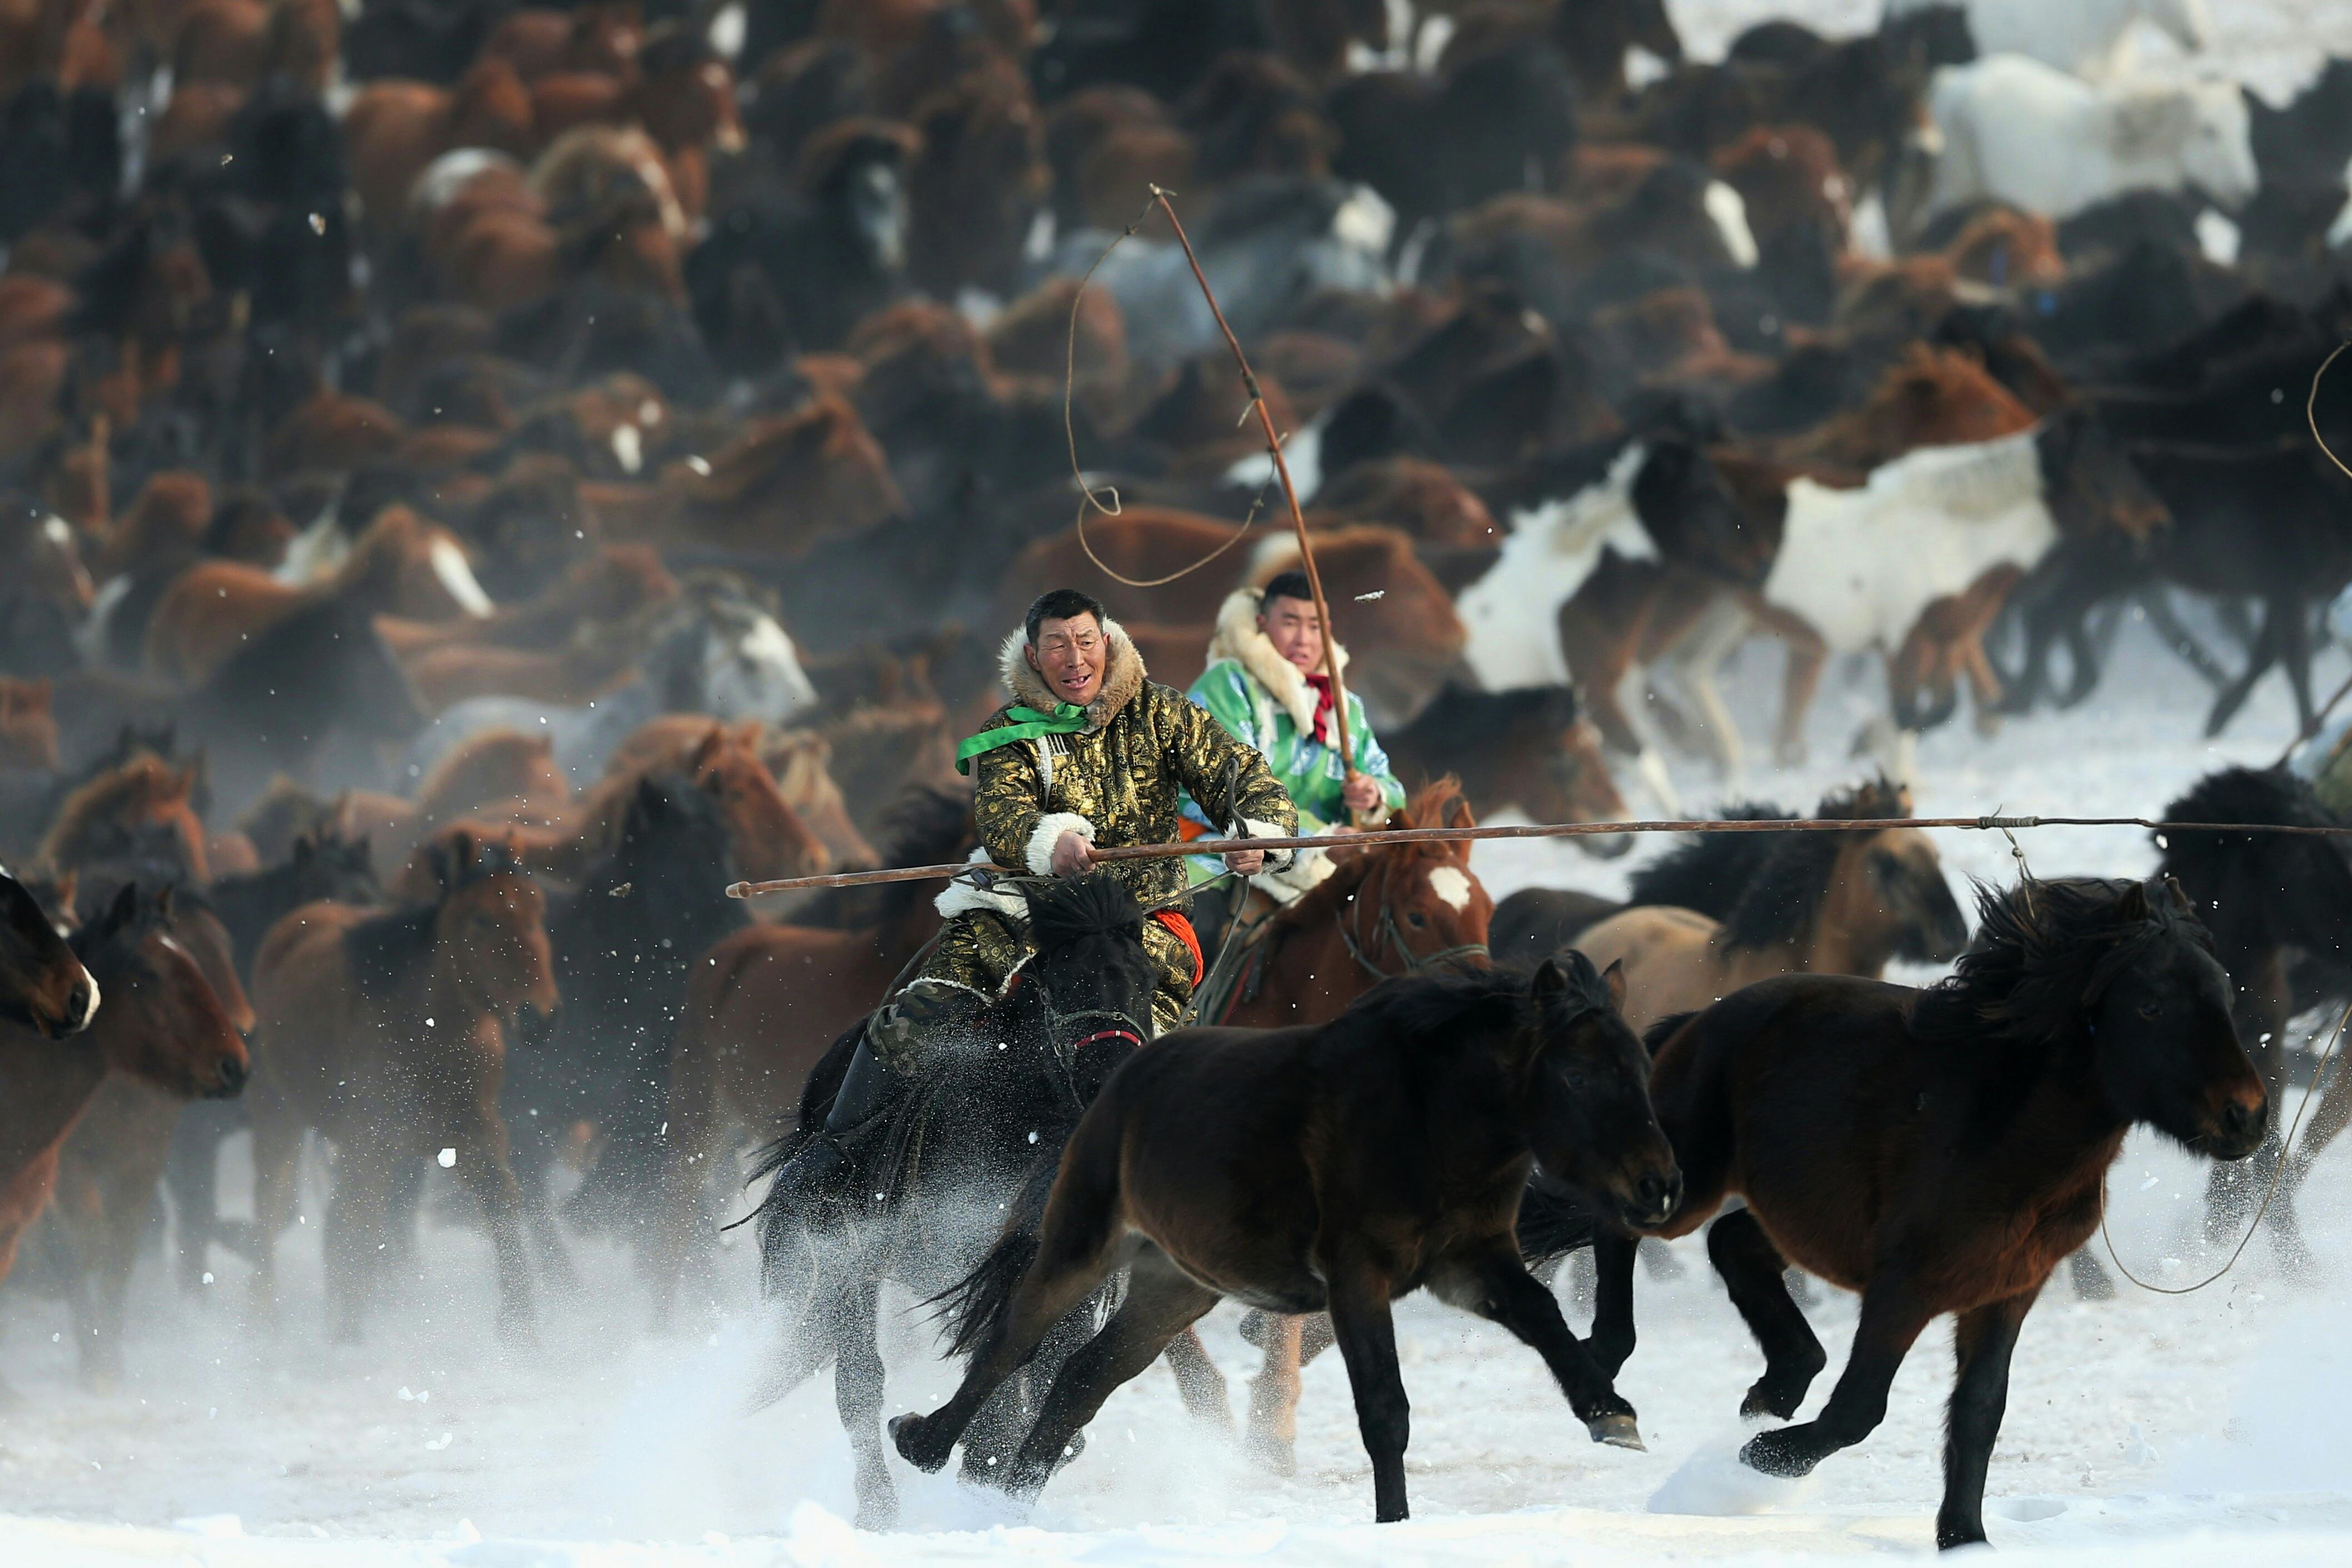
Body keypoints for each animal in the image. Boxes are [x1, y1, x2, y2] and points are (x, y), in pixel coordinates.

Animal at [249, 841, 560, 1344]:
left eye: (538, 909)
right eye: (481, 918)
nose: (541, 1016)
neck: (428, 1030)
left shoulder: (474, 1136)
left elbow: (502, 1203)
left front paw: (521, 1327)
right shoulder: (370, 1140)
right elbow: (359, 1227)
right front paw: (347, 1335)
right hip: (277, 1112)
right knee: (272, 1203)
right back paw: (264, 1317)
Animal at [748, 869, 1162, 1533]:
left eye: (1146, 981)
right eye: (1066, 978)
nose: (1112, 1077)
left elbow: (1037, 1386)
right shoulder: (925, 1256)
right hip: (851, 1257)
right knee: (863, 1382)